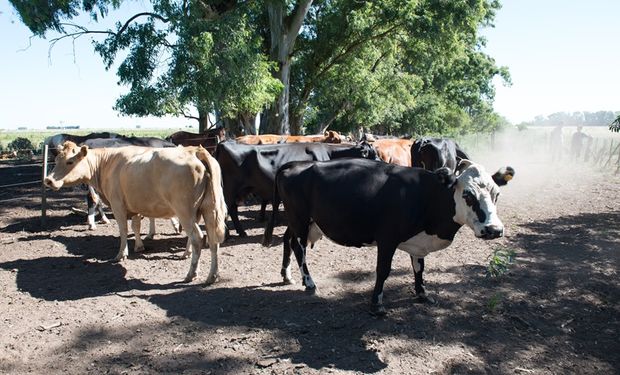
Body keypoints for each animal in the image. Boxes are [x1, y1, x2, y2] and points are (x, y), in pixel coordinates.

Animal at [44, 142, 228, 284]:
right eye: (56, 159)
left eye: (70, 161)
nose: (48, 180)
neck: (108, 163)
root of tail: (195, 150)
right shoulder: (136, 205)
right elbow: (136, 226)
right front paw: (139, 246)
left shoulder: (117, 204)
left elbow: (124, 230)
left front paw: (121, 254)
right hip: (209, 209)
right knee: (213, 240)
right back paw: (212, 276)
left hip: (185, 211)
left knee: (197, 237)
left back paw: (191, 274)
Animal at [262, 157, 512, 316]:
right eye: (468, 195)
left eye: (497, 194)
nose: (494, 229)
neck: (426, 195)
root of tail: (296, 163)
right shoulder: (387, 238)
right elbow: (383, 270)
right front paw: (376, 304)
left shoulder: (418, 243)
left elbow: (419, 268)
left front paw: (422, 294)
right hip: (300, 219)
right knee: (299, 248)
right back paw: (309, 282)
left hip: (301, 222)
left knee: (287, 240)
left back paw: (287, 275)